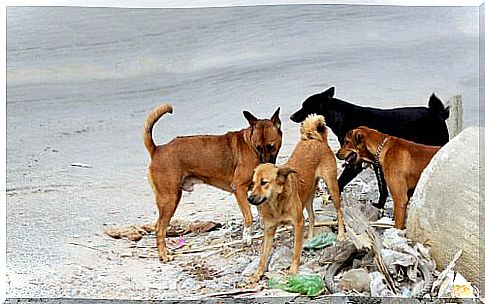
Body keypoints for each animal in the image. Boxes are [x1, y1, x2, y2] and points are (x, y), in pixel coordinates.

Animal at [144, 103, 282, 260]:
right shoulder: (239, 189)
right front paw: (247, 238)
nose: (264, 165)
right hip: (170, 199)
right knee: (159, 229)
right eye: (258, 147)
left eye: (271, 146)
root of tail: (156, 149)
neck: (249, 145)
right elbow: (249, 217)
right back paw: (164, 255)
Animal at [246, 114, 344, 282]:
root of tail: (316, 140)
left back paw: (342, 235)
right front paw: (257, 274)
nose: (250, 199)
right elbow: (263, 256)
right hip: (308, 195)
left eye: (264, 182)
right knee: (312, 216)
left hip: (332, 188)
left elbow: (296, 251)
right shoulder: (269, 230)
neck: (276, 204)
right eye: (253, 183)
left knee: (339, 211)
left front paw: (293, 270)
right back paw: (310, 239)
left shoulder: (298, 223)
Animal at [290, 86, 448, 208]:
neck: (340, 116)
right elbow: (382, 187)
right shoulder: (376, 162)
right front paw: (380, 205)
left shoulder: (354, 163)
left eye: (305, 106)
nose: (291, 116)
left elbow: (340, 182)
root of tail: (438, 113)